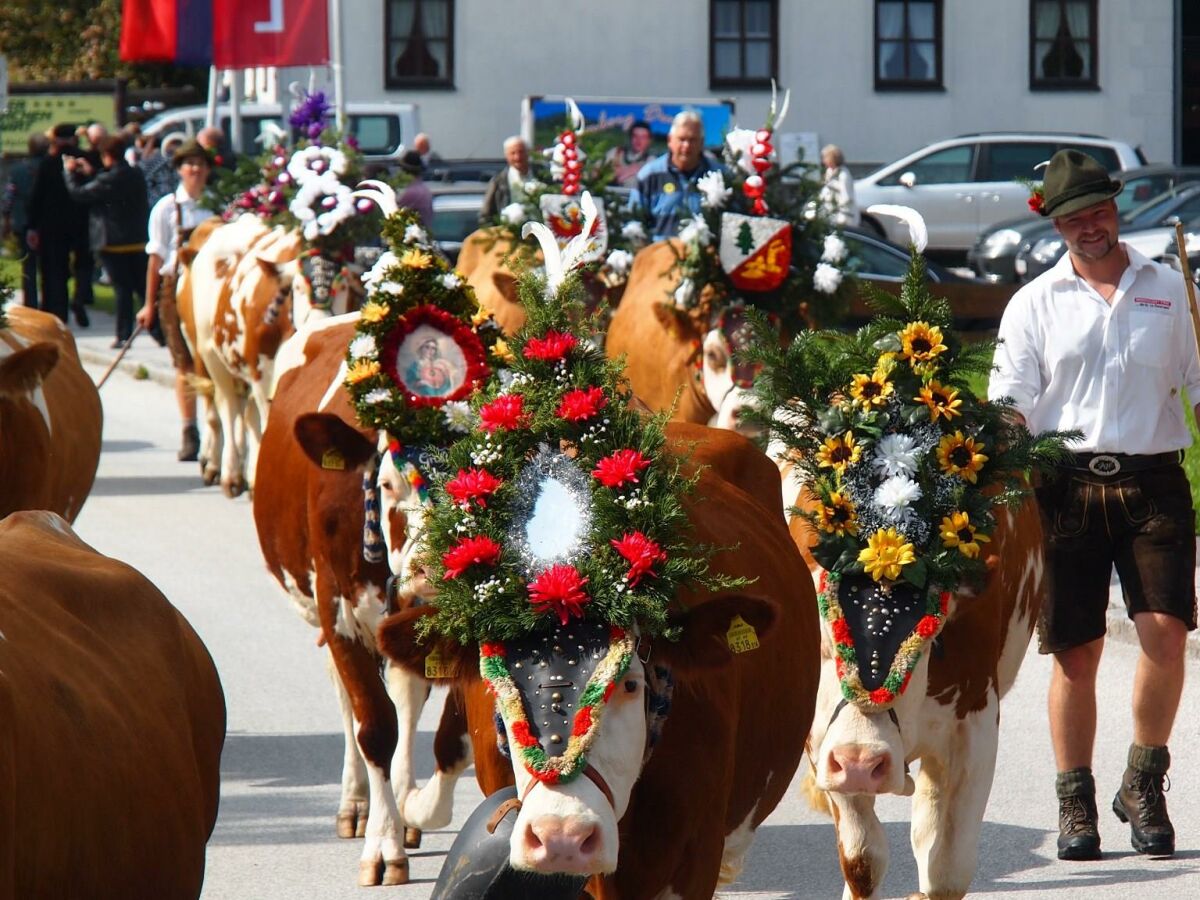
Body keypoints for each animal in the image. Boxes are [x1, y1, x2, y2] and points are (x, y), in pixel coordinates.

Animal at [255, 319, 470, 888]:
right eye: (389, 483)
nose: (432, 580)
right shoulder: (338, 610)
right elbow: (374, 726)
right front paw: (383, 844)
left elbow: (452, 740)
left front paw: (412, 807)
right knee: (351, 702)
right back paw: (356, 804)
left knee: (407, 695)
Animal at [801, 501, 1046, 900]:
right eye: (821, 642)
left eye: (930, 642)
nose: (861, 764)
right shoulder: (823, 742)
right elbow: (863, 862)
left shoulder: (975, 723)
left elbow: (946, 872)